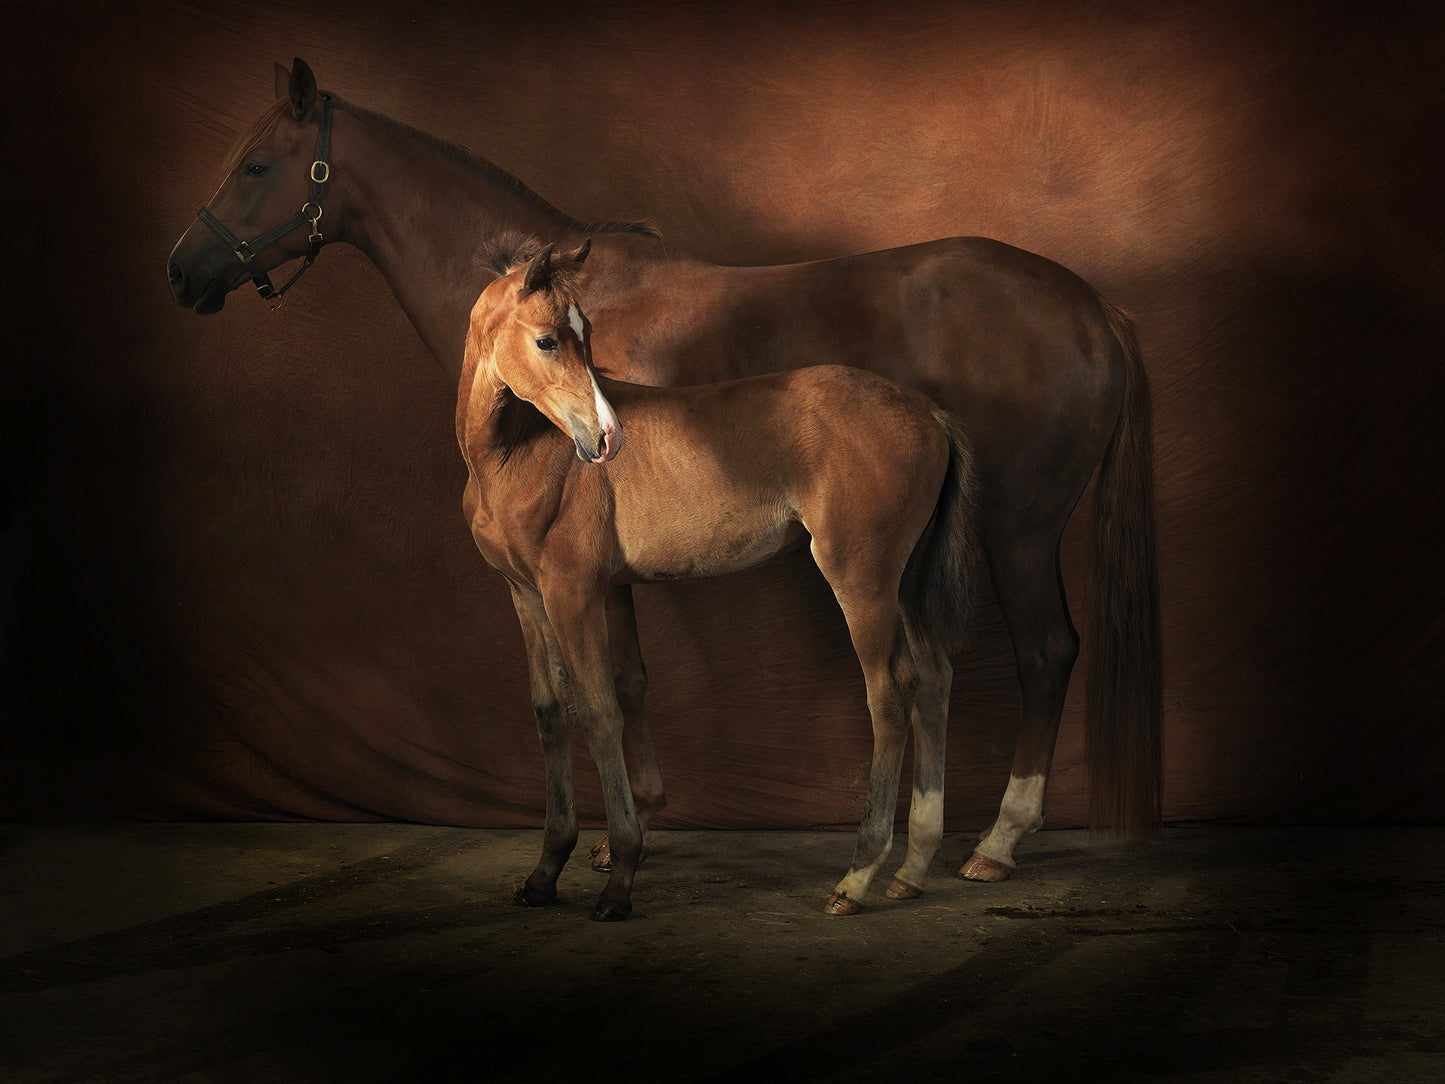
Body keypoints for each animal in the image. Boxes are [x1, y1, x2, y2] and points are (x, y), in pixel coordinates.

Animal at [459, 238, 980, 918]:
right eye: (548, 340)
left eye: (588, 334)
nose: (608, 437)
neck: (515, 454)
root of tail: (930, 412)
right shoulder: (536, 594)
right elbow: (565, 707)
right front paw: (547, 870)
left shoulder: (571, 592)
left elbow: (598, 710)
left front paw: (619, 877)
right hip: (908, 580)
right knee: (937, 679)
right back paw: (913, 867)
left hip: (861, 576)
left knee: (891, 692)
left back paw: (859, 874)